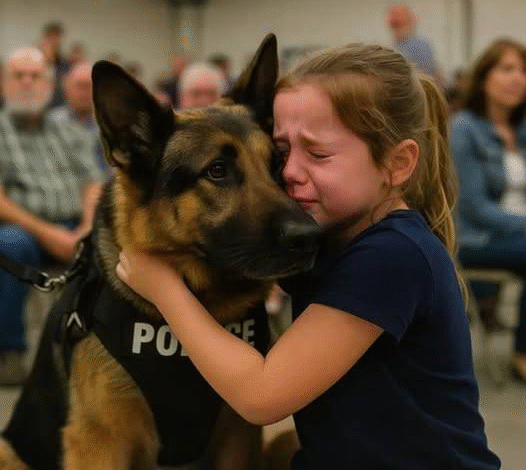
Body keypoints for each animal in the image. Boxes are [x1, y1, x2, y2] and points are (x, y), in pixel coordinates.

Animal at [0, 34, 318, 470]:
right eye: (217, 171)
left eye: (278, 164)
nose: (311, 236)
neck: (200, 310)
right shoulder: (100, 444)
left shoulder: (238, 437)